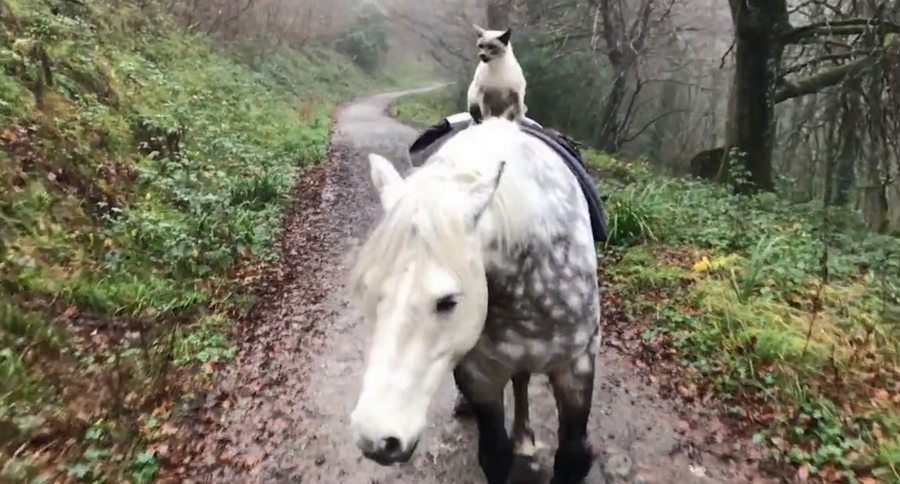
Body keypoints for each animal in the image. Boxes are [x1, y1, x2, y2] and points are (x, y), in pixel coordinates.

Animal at [349, 117, 601, 484]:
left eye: (448, 301)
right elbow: (495, 454)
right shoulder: (481, 376)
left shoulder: (576, 366)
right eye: (370, 290)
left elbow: (572, 457)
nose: (376, 439)